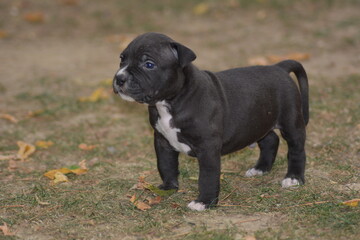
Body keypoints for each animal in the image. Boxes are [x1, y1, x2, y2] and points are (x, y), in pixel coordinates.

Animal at [113, 32, 310, 210]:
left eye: (149, 64)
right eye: (122, 59)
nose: (119, 78)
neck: (171, 101)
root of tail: (279, 67)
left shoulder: (207, 148)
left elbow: (207, 177)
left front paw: (204, 202)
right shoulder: (162, 141)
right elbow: (166, 165)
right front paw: (168, 188)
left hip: (291, 122)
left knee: (296, 149)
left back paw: (293, 178)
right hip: (257, 121)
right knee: (270, 139)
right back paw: (260, 169)